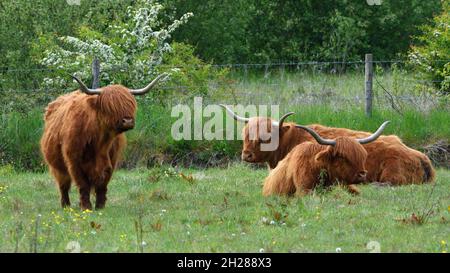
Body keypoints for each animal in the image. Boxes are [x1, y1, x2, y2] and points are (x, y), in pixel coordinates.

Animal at [39, 72, 167, 208]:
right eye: (110, 105)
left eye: (131, 104)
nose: (127, 121)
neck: (100, 141)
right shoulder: (74, 162)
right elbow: (83, 185)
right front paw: (86, 207)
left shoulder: (111, 161)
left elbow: (102, 185)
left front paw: (100, 206)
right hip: (57, 166)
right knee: (63, 185)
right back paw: (66, 205)